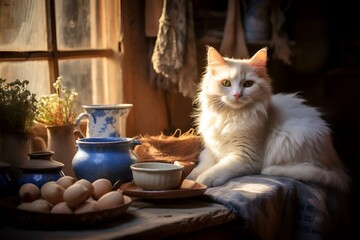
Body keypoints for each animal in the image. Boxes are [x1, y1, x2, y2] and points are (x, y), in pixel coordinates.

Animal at [190, 46, 350, 190]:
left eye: (248, 84)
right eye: (226, 83)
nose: (237, 95)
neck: (230, 115)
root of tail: (335, 161)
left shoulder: (245, 156)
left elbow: (219, 168)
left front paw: (204, 179)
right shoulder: (211, 149)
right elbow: (202, 165)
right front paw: (191, 177)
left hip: (289, 137)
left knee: (304, 170)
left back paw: (270, 170)